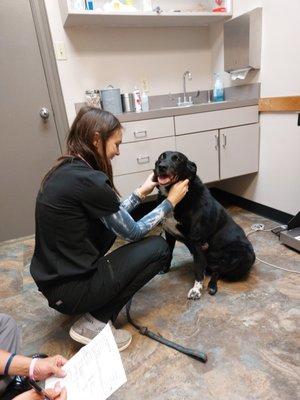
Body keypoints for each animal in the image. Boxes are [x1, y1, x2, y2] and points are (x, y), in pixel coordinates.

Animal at [155, 152, 255, 298]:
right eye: (161, 157)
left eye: (178, 159)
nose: (162, 167)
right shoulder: (169, 234)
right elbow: (169, 254)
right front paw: (165, 269)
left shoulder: (197, 242)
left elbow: (198, 270)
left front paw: (196, 289)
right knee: (213, 269)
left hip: (243, 255)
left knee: (218, 271)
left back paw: (212, 286)